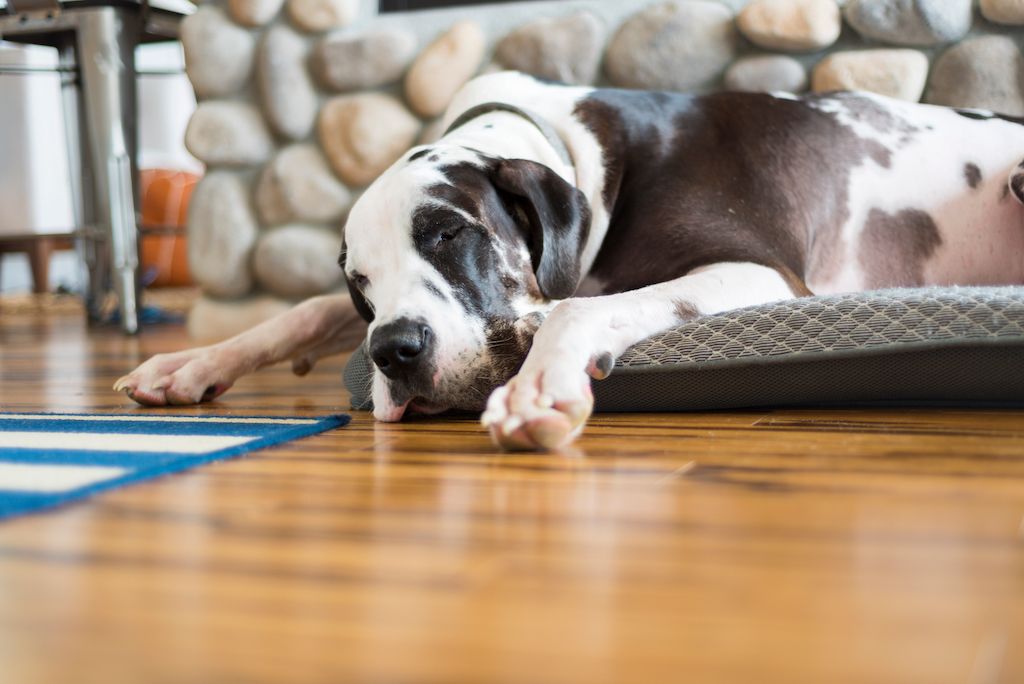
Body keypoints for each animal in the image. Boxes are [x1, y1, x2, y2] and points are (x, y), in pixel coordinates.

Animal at [116, 72, 1024, 450]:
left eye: (448, 233)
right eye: (360, 284)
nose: (394, 352)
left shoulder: (760, 271)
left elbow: (583, 304)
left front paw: (538, 388)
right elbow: (299, 310)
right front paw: (191, 364)